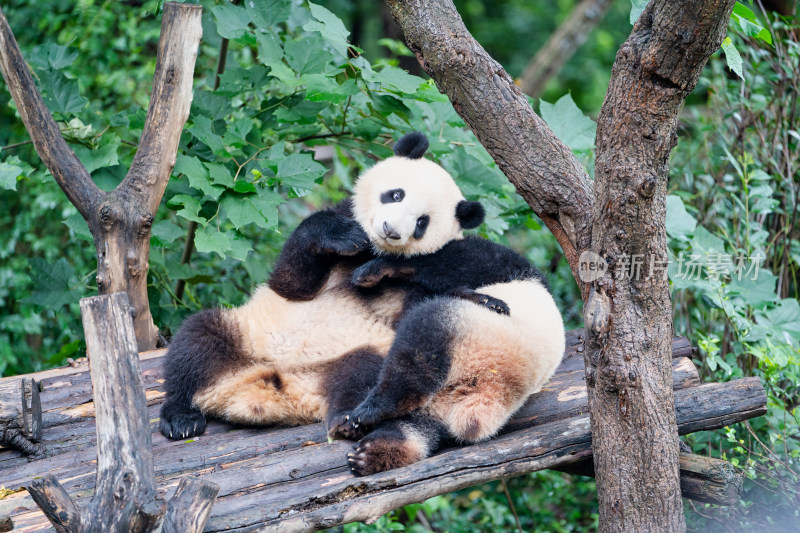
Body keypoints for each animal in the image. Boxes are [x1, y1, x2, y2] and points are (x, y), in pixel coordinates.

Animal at [158, 132, 564, 474]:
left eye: (422, 222)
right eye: (395, 194)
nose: (390, 230)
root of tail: (274, 385)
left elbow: (444, 270)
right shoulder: (329, 247)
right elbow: (292, 280)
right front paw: (344, 238)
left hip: (364, 354)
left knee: (380, 367)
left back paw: (354, 422)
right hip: (248, 333)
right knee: (197, 343)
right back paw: (181, 416)